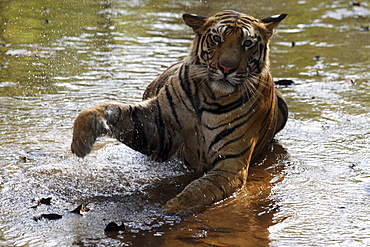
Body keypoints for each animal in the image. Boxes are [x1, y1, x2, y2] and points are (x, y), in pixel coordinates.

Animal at [70, 10, 290, 214]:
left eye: (247, 43)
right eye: (216, 39)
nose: (226, 68)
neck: (212, 96)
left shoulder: (231, 164)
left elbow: (200, 189)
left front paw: (172, 208)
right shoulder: (158, 130)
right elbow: (110, 110)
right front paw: (81, 141)